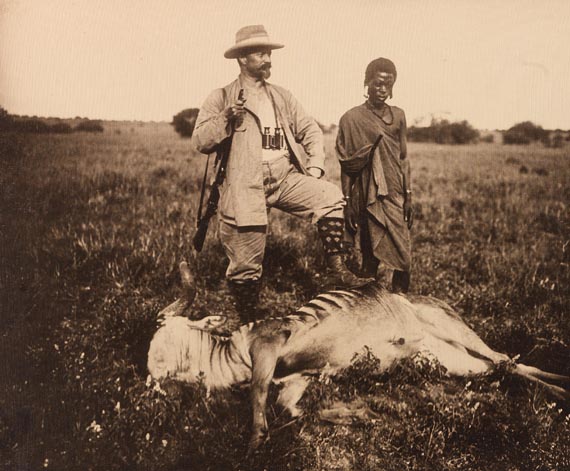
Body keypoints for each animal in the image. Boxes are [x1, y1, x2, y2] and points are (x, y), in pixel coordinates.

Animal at [148, 264, 568, 452]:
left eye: (161, 342)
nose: (151, 386)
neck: (232, 353)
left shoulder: (270, 339)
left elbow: (259, 390)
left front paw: (255, 440)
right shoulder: (302, 378)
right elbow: (291, 405)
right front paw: (354, 416)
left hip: (450, 328)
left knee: (507, 360)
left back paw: (561, 392)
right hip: (451, 361)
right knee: (503, 366)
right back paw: (560, 385)